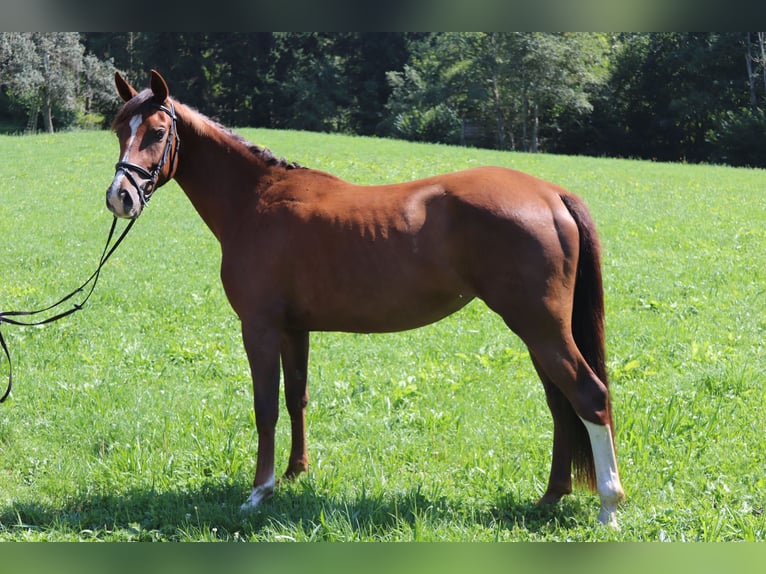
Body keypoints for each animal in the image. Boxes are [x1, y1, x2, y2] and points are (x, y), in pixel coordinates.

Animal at [106, 71, 624, 528]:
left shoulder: (259, 326)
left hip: (540, 329)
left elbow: (265, 406)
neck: (256, 200)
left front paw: (260, 491)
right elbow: (296, 396)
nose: (120, 196)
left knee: (589, 395)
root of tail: (551, 194)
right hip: (538, 334)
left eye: (157, 132)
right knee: (560, 405)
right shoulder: (294, 328)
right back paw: (552, 495)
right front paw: (295, 473)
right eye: (118, 130)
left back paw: (608, 505)